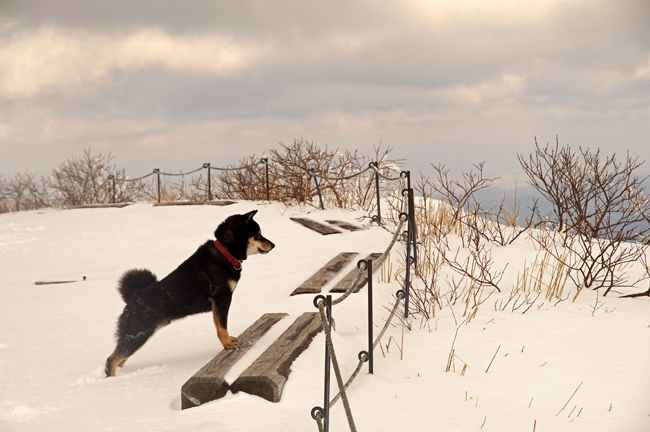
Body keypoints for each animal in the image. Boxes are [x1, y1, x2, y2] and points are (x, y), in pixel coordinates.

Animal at [105, 211, 272, 376]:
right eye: (258, 234)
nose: (273, 245)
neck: (226, 252)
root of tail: (134, 297)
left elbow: (220, 326)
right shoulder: (221, 298)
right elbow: (222, 326)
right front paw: (227, 344)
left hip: (140, 336)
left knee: (120, 360)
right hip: (137, 335)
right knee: (112, 360)